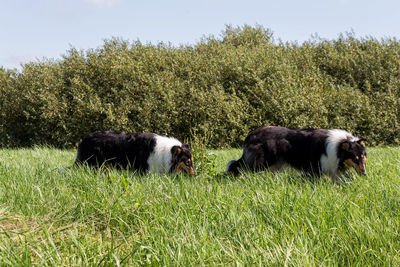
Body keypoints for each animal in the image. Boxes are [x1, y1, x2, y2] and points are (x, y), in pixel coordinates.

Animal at [225, 126, 366, 181]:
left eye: (363, 157)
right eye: (355, 158)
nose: (364, 174)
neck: (338, 146)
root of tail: (251, 134)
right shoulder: (317, 166)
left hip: (275, 164)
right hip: (262, 161)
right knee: (241, 168)